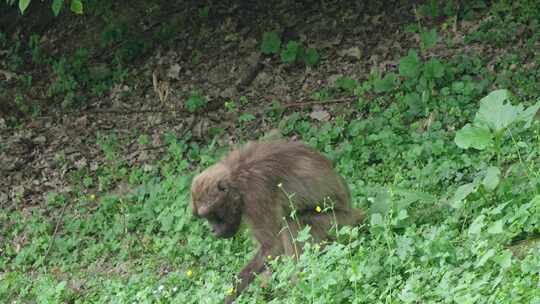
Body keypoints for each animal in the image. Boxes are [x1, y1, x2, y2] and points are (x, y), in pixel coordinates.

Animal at [190, 139, 362, 302]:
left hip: (339, 224)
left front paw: (231, 294)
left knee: (292, 223)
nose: (213, 230)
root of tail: (355, 213)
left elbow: (272, 245)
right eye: (206, 217)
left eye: (211, 215)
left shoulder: (256, 196)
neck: (237, 180)